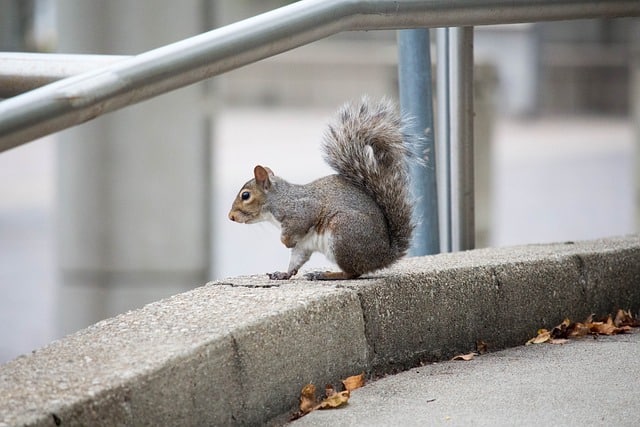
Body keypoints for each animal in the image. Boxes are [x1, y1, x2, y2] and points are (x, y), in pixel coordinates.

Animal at [228, 97, 414, 280]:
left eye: (245, 195)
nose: (230, 217)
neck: (276, 201)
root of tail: (384, 255)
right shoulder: (303, 245)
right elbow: (296, 259)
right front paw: (283, 273)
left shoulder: (302, 211)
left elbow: (297, 226)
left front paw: (286, 241)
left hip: (342, 234)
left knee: (352, 273)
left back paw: (326, 274)